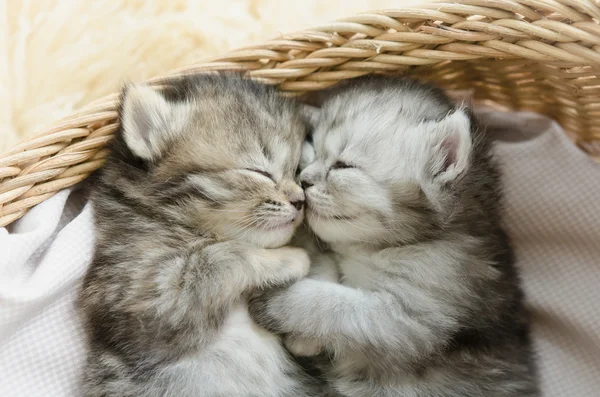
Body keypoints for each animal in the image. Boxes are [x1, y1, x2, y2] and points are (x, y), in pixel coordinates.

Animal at [80, 74, 326, 396]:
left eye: (297, 170)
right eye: (259, 171)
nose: (300, 201)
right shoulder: (144, 295)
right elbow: (223, 255)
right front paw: (291, 259)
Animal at [248, 77, 540, 396]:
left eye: (343, 165)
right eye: (312, 148)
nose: (303, 180)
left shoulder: (416, 315)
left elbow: (336, 306)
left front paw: (278, 301)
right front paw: (304, 338)